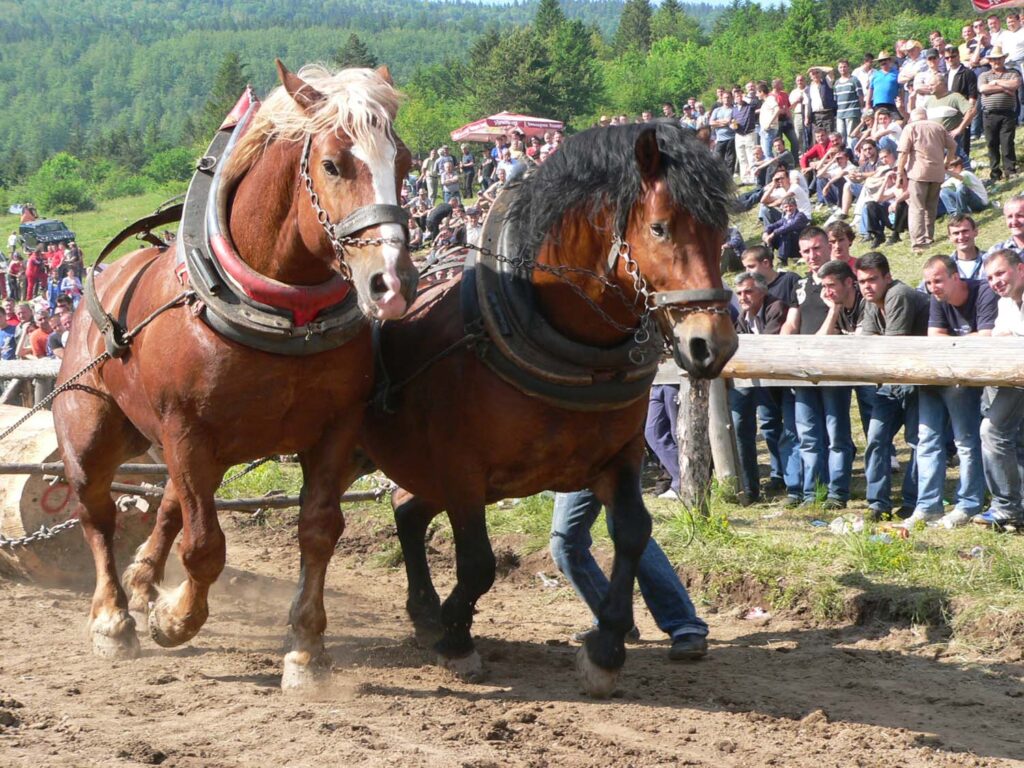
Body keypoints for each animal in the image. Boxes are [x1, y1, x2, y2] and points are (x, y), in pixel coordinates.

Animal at [49, 61, 417, 692]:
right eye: (332, 164)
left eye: (406, 163)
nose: (390, 283)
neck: (282, 313)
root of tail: (102, 280)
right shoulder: (186, 430)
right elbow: (204, 546)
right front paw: (175, 619)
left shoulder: (335, 429)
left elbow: (318, 530)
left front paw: (306, 650)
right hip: (93, 428)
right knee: (96, 511)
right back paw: (115, 617)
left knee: (168, 504)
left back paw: (143, 582)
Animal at [354, 121, 737, 696]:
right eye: (661, 228)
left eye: (721, 231)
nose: (711, 344)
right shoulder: (460, 469)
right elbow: (478, 563)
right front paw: (456, 640)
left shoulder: (618, 458)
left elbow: (633, 533)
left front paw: (606, 647)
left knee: (406, 511)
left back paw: (422, 613)